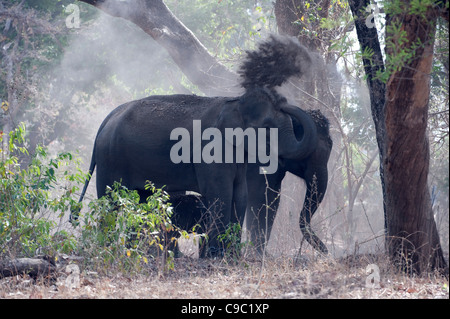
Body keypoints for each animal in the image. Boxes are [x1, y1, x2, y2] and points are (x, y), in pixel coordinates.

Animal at [71, 35, 320, 258]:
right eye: (268, 127)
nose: (284, 99)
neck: (234, 104)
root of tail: (107, 120)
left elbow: (240, 194)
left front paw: (232, 255)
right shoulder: (211, 151)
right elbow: (220, 193)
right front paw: (216, 255)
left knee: (139, 200)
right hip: (111, 159)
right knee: (111, 201)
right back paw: (107, 249)